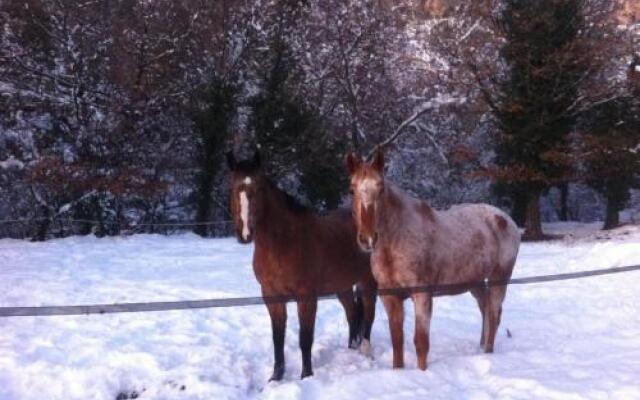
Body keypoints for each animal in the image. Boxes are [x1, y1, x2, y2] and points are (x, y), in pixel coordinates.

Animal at [226, 152, 378, 380]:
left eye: (259, 189)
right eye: (233, 188)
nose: (245, 233)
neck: (283, 244)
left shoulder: (306, 297)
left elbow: (305, 338)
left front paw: (306, 375)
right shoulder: (271, 296)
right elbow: (277, 338)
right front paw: (276, 377)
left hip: (368, 283)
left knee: (368, 316)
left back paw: (365, 354)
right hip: (342, 286)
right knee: (352, 314)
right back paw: (351, 349)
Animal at [344, 148, 520, 370]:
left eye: (381, 188)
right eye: (352, 190)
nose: (368, 238)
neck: (396, 241)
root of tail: (505, 219)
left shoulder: (422, 295)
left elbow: (421, 342)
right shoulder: (390, 296)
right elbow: (397, 341)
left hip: (499, 280)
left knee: (494, 313)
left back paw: (488, 353)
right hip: (476, 282)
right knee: (486, 310)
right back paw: (480, 348)